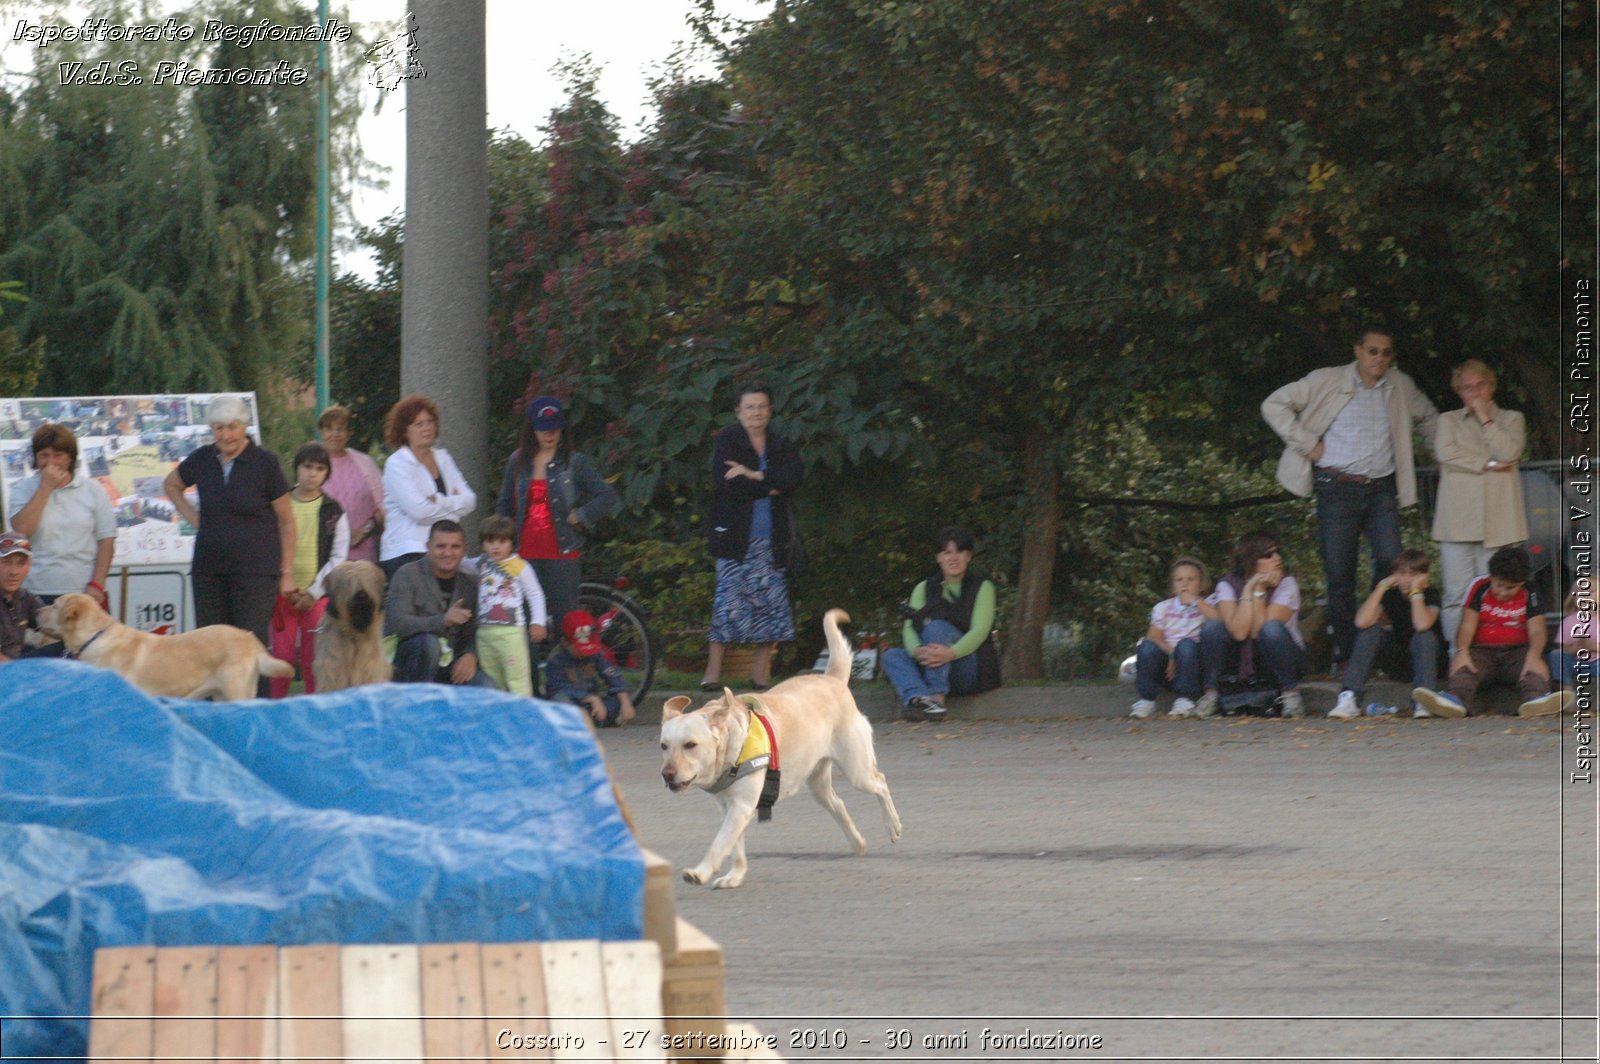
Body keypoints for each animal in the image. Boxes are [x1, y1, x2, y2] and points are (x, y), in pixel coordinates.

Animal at [652, 604, 902, 889]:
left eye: (690, 745)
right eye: (664, 746)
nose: (667, 775)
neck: (730, 752)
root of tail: (833, 679)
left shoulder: (741, 806)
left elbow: (719, 843)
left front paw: (701, 872)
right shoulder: (731, 807)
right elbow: (735, 846)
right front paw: (735, 875)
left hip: (857, 770)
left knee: (880, 782)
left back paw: (893, 825)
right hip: (818, 783)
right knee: (838, 804)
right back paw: (857, 842)